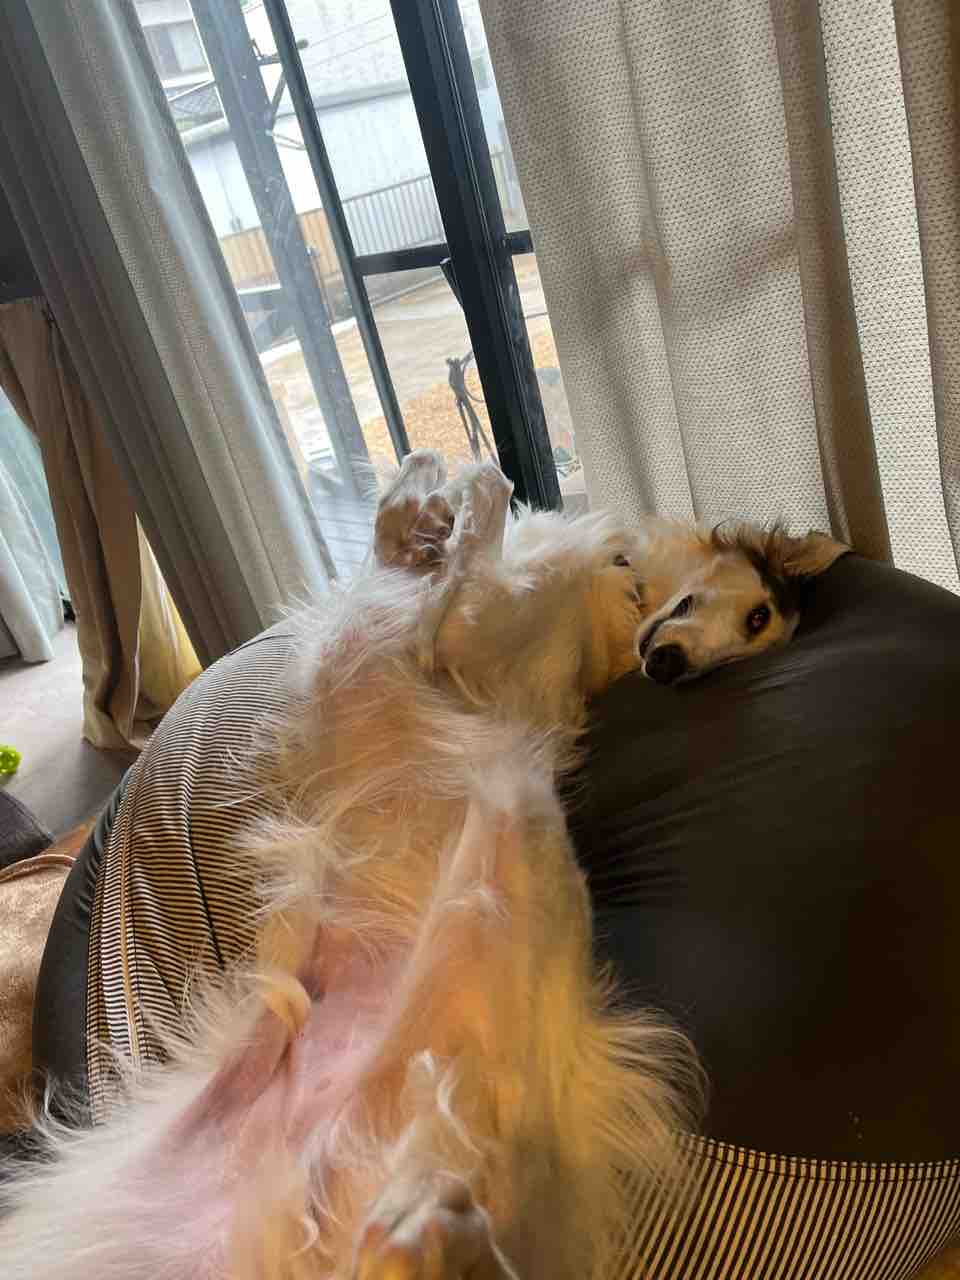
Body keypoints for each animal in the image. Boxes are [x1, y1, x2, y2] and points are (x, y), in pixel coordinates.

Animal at [0, 452, 845, 1280]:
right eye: (757, 616)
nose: (670, 665)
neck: (617, 599)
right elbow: (401, 529)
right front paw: (427, 494)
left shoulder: (428, 638)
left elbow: (462, 533)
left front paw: (455, 491)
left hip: (512, 843)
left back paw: (425, 1231)